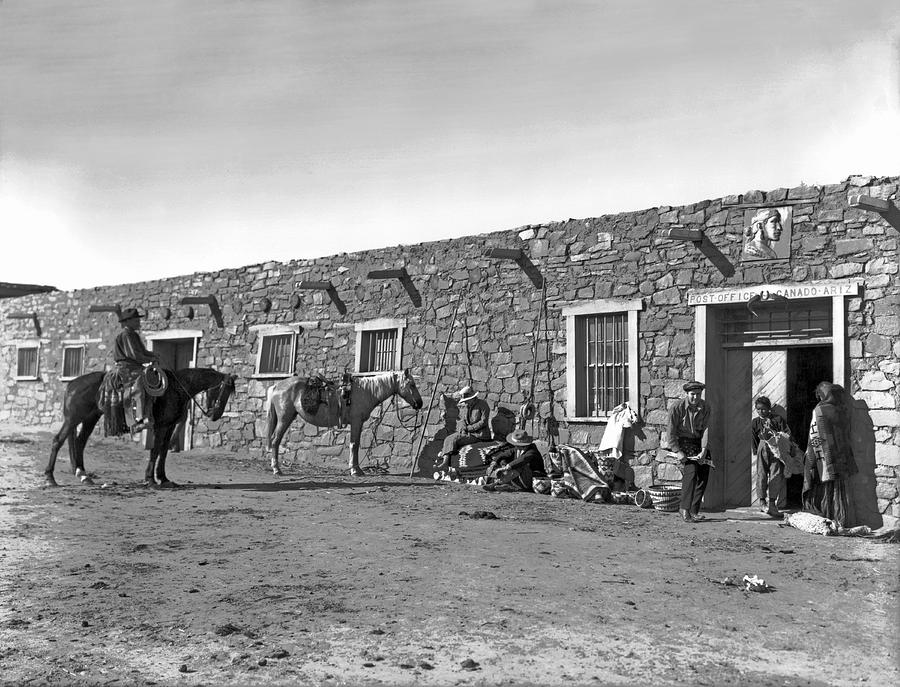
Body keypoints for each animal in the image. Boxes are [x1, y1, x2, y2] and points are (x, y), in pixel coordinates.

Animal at [46, 368, 237, 486]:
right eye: (224, 390)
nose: (215, 415)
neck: (176, 388)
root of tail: (72, 385)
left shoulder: (169, 427)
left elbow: (163, 451)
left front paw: (163, 478)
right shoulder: (161, 426)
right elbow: (155, 450)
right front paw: (150, 479)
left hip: (89, 418)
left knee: (79, 443)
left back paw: (83, 475)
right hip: (73, 419)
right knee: (57, 441)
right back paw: (50, 478)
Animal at [266, 368, 424, 476]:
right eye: (411, 384)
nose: (420, 403)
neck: (366, 391)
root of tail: (276, 386)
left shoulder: (358, 423)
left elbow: (355, 444)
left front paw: (357, 469)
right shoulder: (356, 421)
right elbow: (354, 444)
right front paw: (355, 470)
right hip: (284, 418)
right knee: (275, 440)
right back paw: (276, 469)